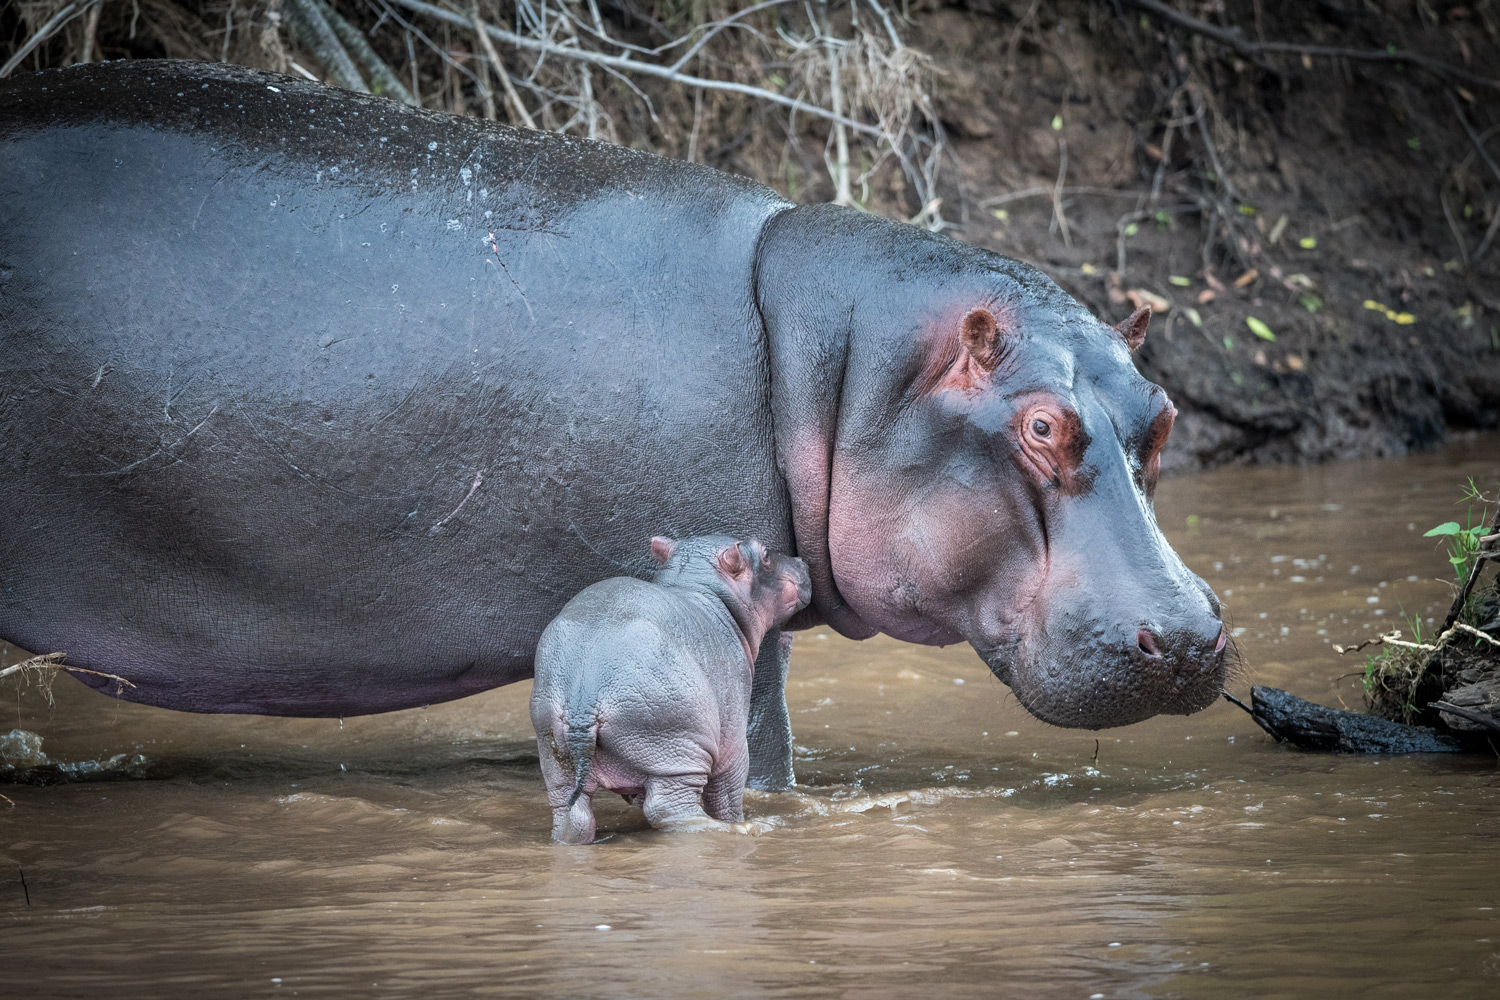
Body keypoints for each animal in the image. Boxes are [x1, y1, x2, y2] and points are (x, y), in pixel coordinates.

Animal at [528, 530, 810, 845]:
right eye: (765, 554)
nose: (802, 561)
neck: (701, 588)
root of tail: (584, 699)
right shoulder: (733, 739)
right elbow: (728, 795)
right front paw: (735, 821)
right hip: (676, 749)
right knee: (672, 809)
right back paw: (738, 829)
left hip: (558, 755)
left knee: (571, 814)